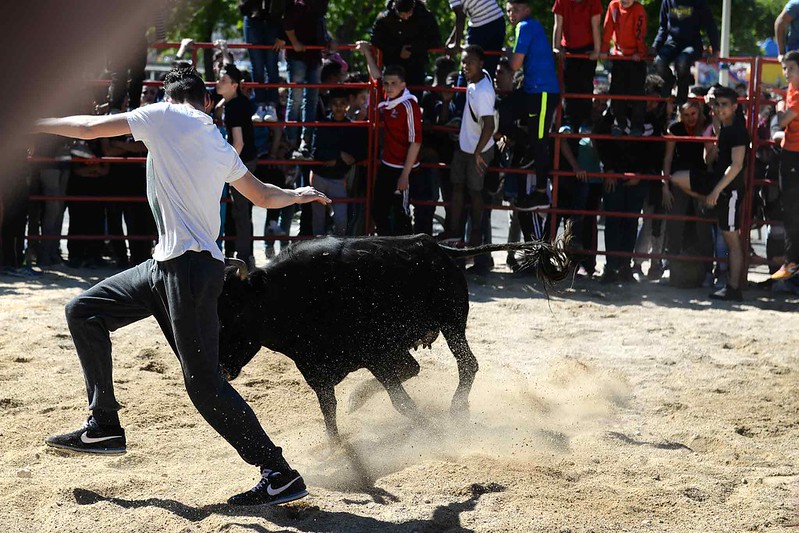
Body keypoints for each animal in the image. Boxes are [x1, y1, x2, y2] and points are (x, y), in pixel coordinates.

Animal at [218, 232, 570, 441]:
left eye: (235, 313)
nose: (221, 367)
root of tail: (437, 247)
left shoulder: (375, 355)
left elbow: (401, 402)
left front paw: (432, 431)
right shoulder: (317, 369)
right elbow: (329, 409)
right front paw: (337, 447)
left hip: (451, 325)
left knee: (467, 365)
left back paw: (456, 411)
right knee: (416, 367)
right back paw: (359, 399)